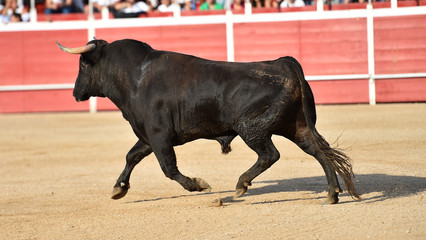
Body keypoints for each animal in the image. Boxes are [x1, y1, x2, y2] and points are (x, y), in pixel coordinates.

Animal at [57, 38, 360, 203]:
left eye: (82, 64)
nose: (75, 93)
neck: (134, 77)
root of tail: (284, 63)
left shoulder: (159, 135)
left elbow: (168, 168)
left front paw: (198, 185)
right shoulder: (147, 136)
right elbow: (132, 156)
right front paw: (119, 189)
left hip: (252, 129)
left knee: (269, 154)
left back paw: (240, 185)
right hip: (297, 127)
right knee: (319, 152)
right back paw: (332, 193)